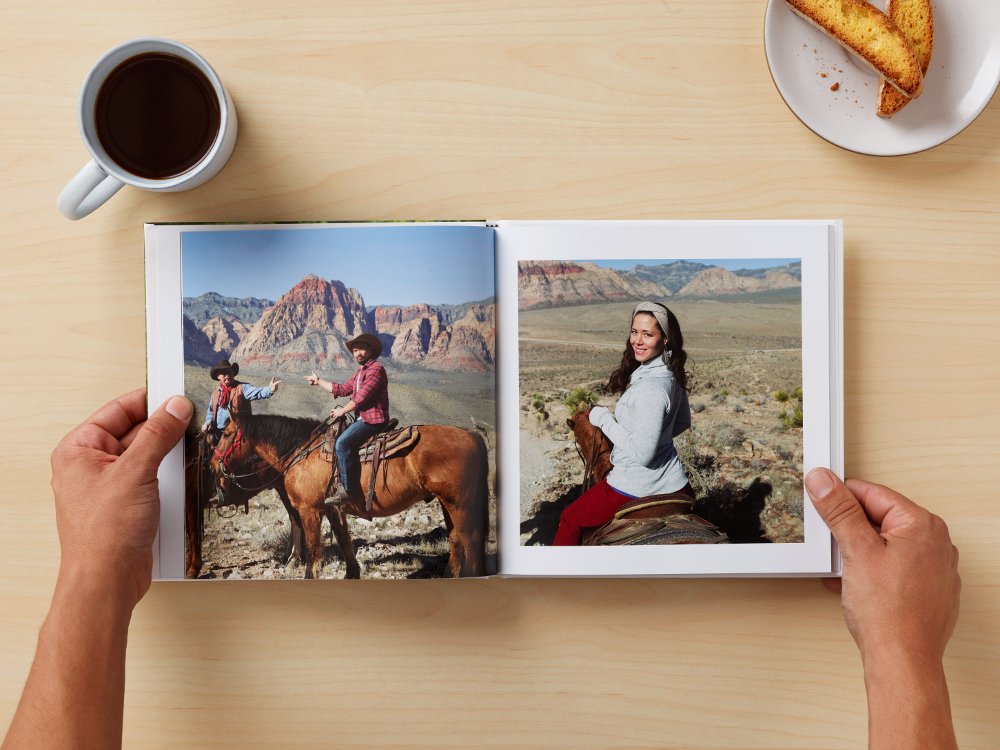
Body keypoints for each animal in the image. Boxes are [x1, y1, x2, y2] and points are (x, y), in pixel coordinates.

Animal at [214, 414, 488, 580]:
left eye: (226, 434)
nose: (214, 463)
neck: (301, 451)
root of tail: (473, 436)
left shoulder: (309, 510)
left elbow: (313, 548)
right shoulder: (332, 508)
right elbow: (344, 539)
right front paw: (351, 574)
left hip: (460, 503)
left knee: (470, 538)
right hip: (446, 502)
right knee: (455, 539)